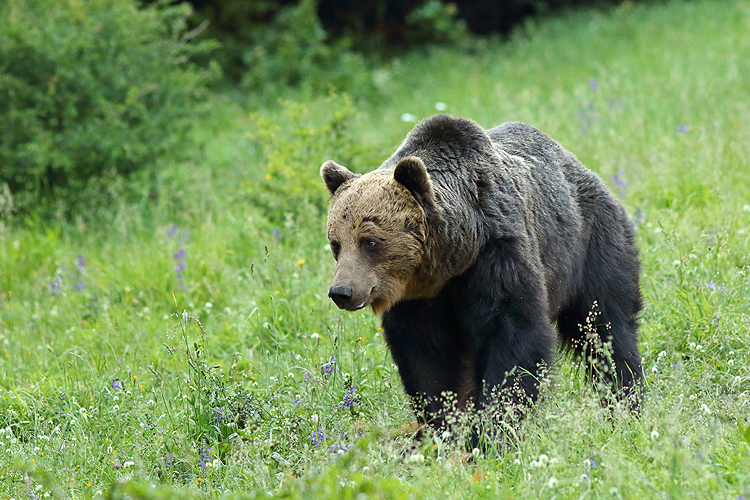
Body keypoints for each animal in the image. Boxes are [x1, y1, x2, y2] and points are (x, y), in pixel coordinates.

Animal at [320, 114, 644, 446]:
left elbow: (514, 334)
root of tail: (585, 170)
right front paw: (443, 427)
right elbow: (426, 358)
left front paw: (491, 433)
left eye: (370, 241)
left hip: (590, 245)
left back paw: (625, 404)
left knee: (605, 327)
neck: (452, 260)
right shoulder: (420, 300)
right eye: (336, 243)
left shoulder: (497, 255)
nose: (342, 292)